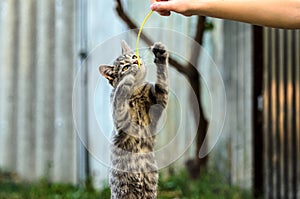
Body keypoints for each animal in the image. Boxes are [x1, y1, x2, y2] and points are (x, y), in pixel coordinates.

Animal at [99, 39, 168, 198]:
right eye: (125, 67)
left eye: (133, 56)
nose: (136, 61)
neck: (136, 92)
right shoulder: (121, 122)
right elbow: (119, 98)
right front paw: (126, 80)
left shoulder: (160, 99)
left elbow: (163, 80)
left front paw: (160, 52)